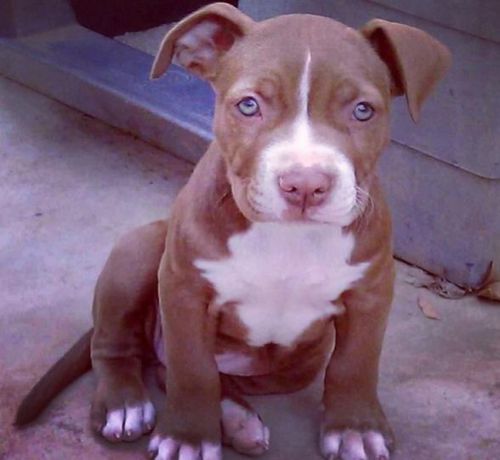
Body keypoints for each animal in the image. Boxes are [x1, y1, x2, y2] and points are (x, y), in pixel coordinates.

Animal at [15, 1, 452, 458]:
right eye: (248, 106)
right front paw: (188, 436)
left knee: (184, 371)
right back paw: (125, 404)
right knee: (119, 347)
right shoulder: (184, 288)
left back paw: (238, 419)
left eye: (363, 111)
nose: (305, 185)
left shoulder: (370, 292)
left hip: (300, 362)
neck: (287, 238)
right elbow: (193, 368)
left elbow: (355, 364)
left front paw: (354, 429)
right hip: (137, 251)